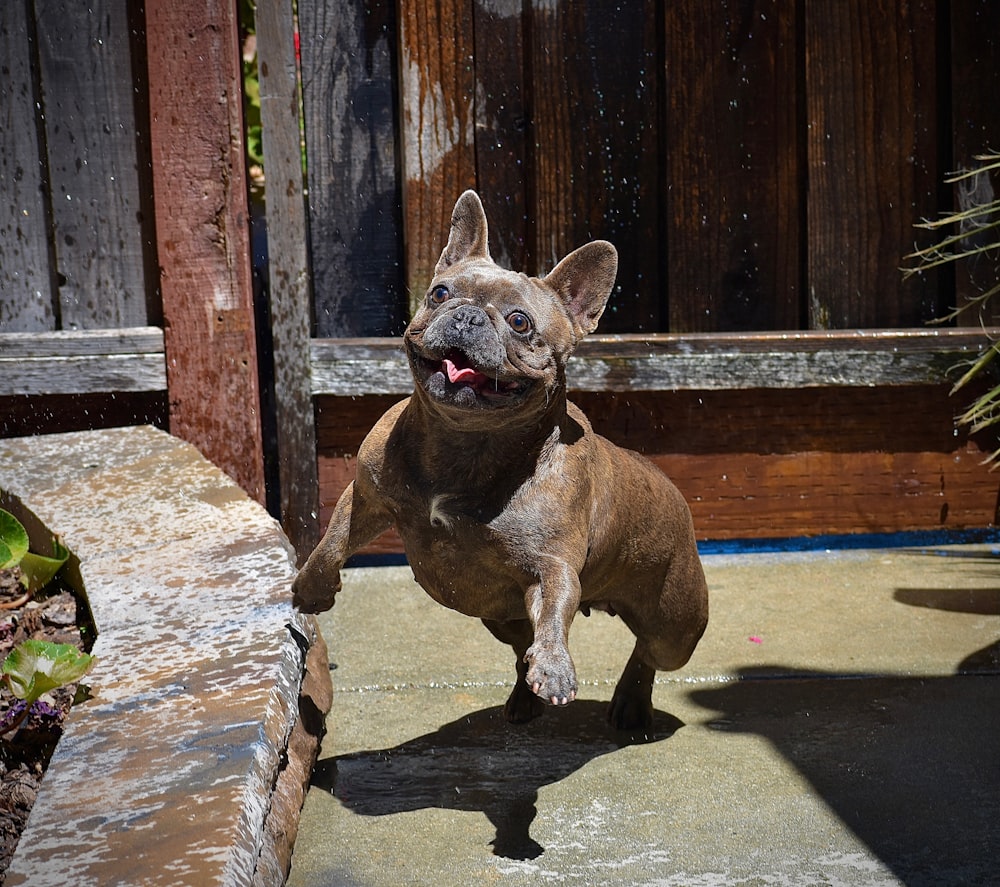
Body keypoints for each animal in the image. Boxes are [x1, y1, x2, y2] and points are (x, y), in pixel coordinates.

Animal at [292, 191, 708, 732]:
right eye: (440, 293)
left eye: (519, 321)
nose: (468, 316)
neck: (465, 441)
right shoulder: (365, 497)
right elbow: (331, 543)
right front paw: (311, 590)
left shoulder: (552, 566)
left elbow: (555, 610)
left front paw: (554, 668)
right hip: (500, 617)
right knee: (518, 649)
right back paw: (526, 699)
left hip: (677, 623)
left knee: (648, 653)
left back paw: (630, 704)